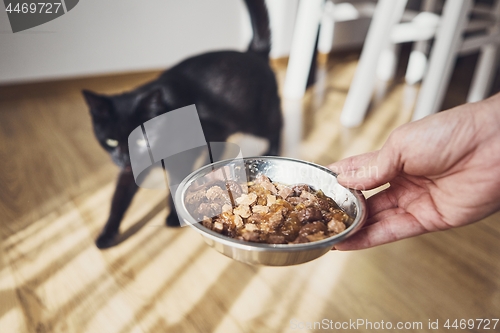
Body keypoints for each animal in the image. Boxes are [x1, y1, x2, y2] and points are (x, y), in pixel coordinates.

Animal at [84, 0, 284, 249]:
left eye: (141, 139)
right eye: (111, 140)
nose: (123, 158)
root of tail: (253, 52)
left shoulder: (181, 159)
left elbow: (175, 183)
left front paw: (173, 216)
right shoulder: (129, 171)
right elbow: (118, 199)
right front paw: (108, 233)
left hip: (255, 118)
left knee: (277, 124)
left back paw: (273, 150)